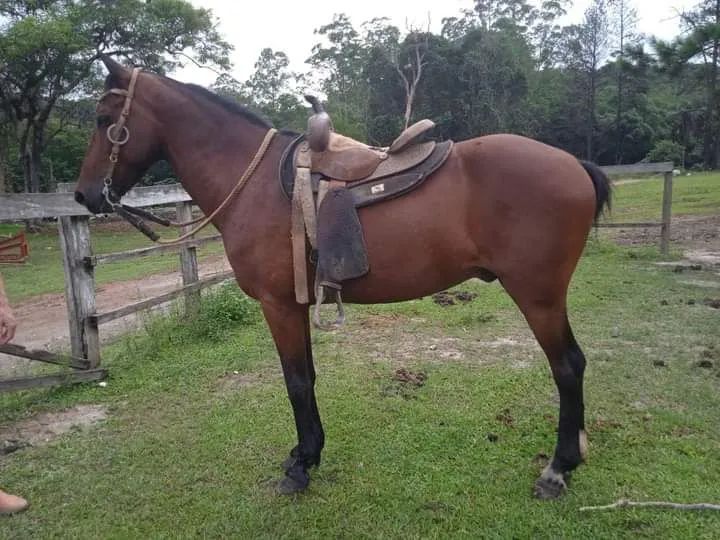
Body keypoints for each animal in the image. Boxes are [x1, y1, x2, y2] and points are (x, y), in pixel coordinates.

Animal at [74, 56, 610, 499]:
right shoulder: (295, 304)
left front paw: (299, 469)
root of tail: (573, 164)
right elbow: (307, 376)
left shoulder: (278, 304)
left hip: (538, 296)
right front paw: (305, 453)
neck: (253, 181)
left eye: (103, 120)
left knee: (567, 367)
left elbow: (295, 381)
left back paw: (557, 470)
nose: (84, 195)